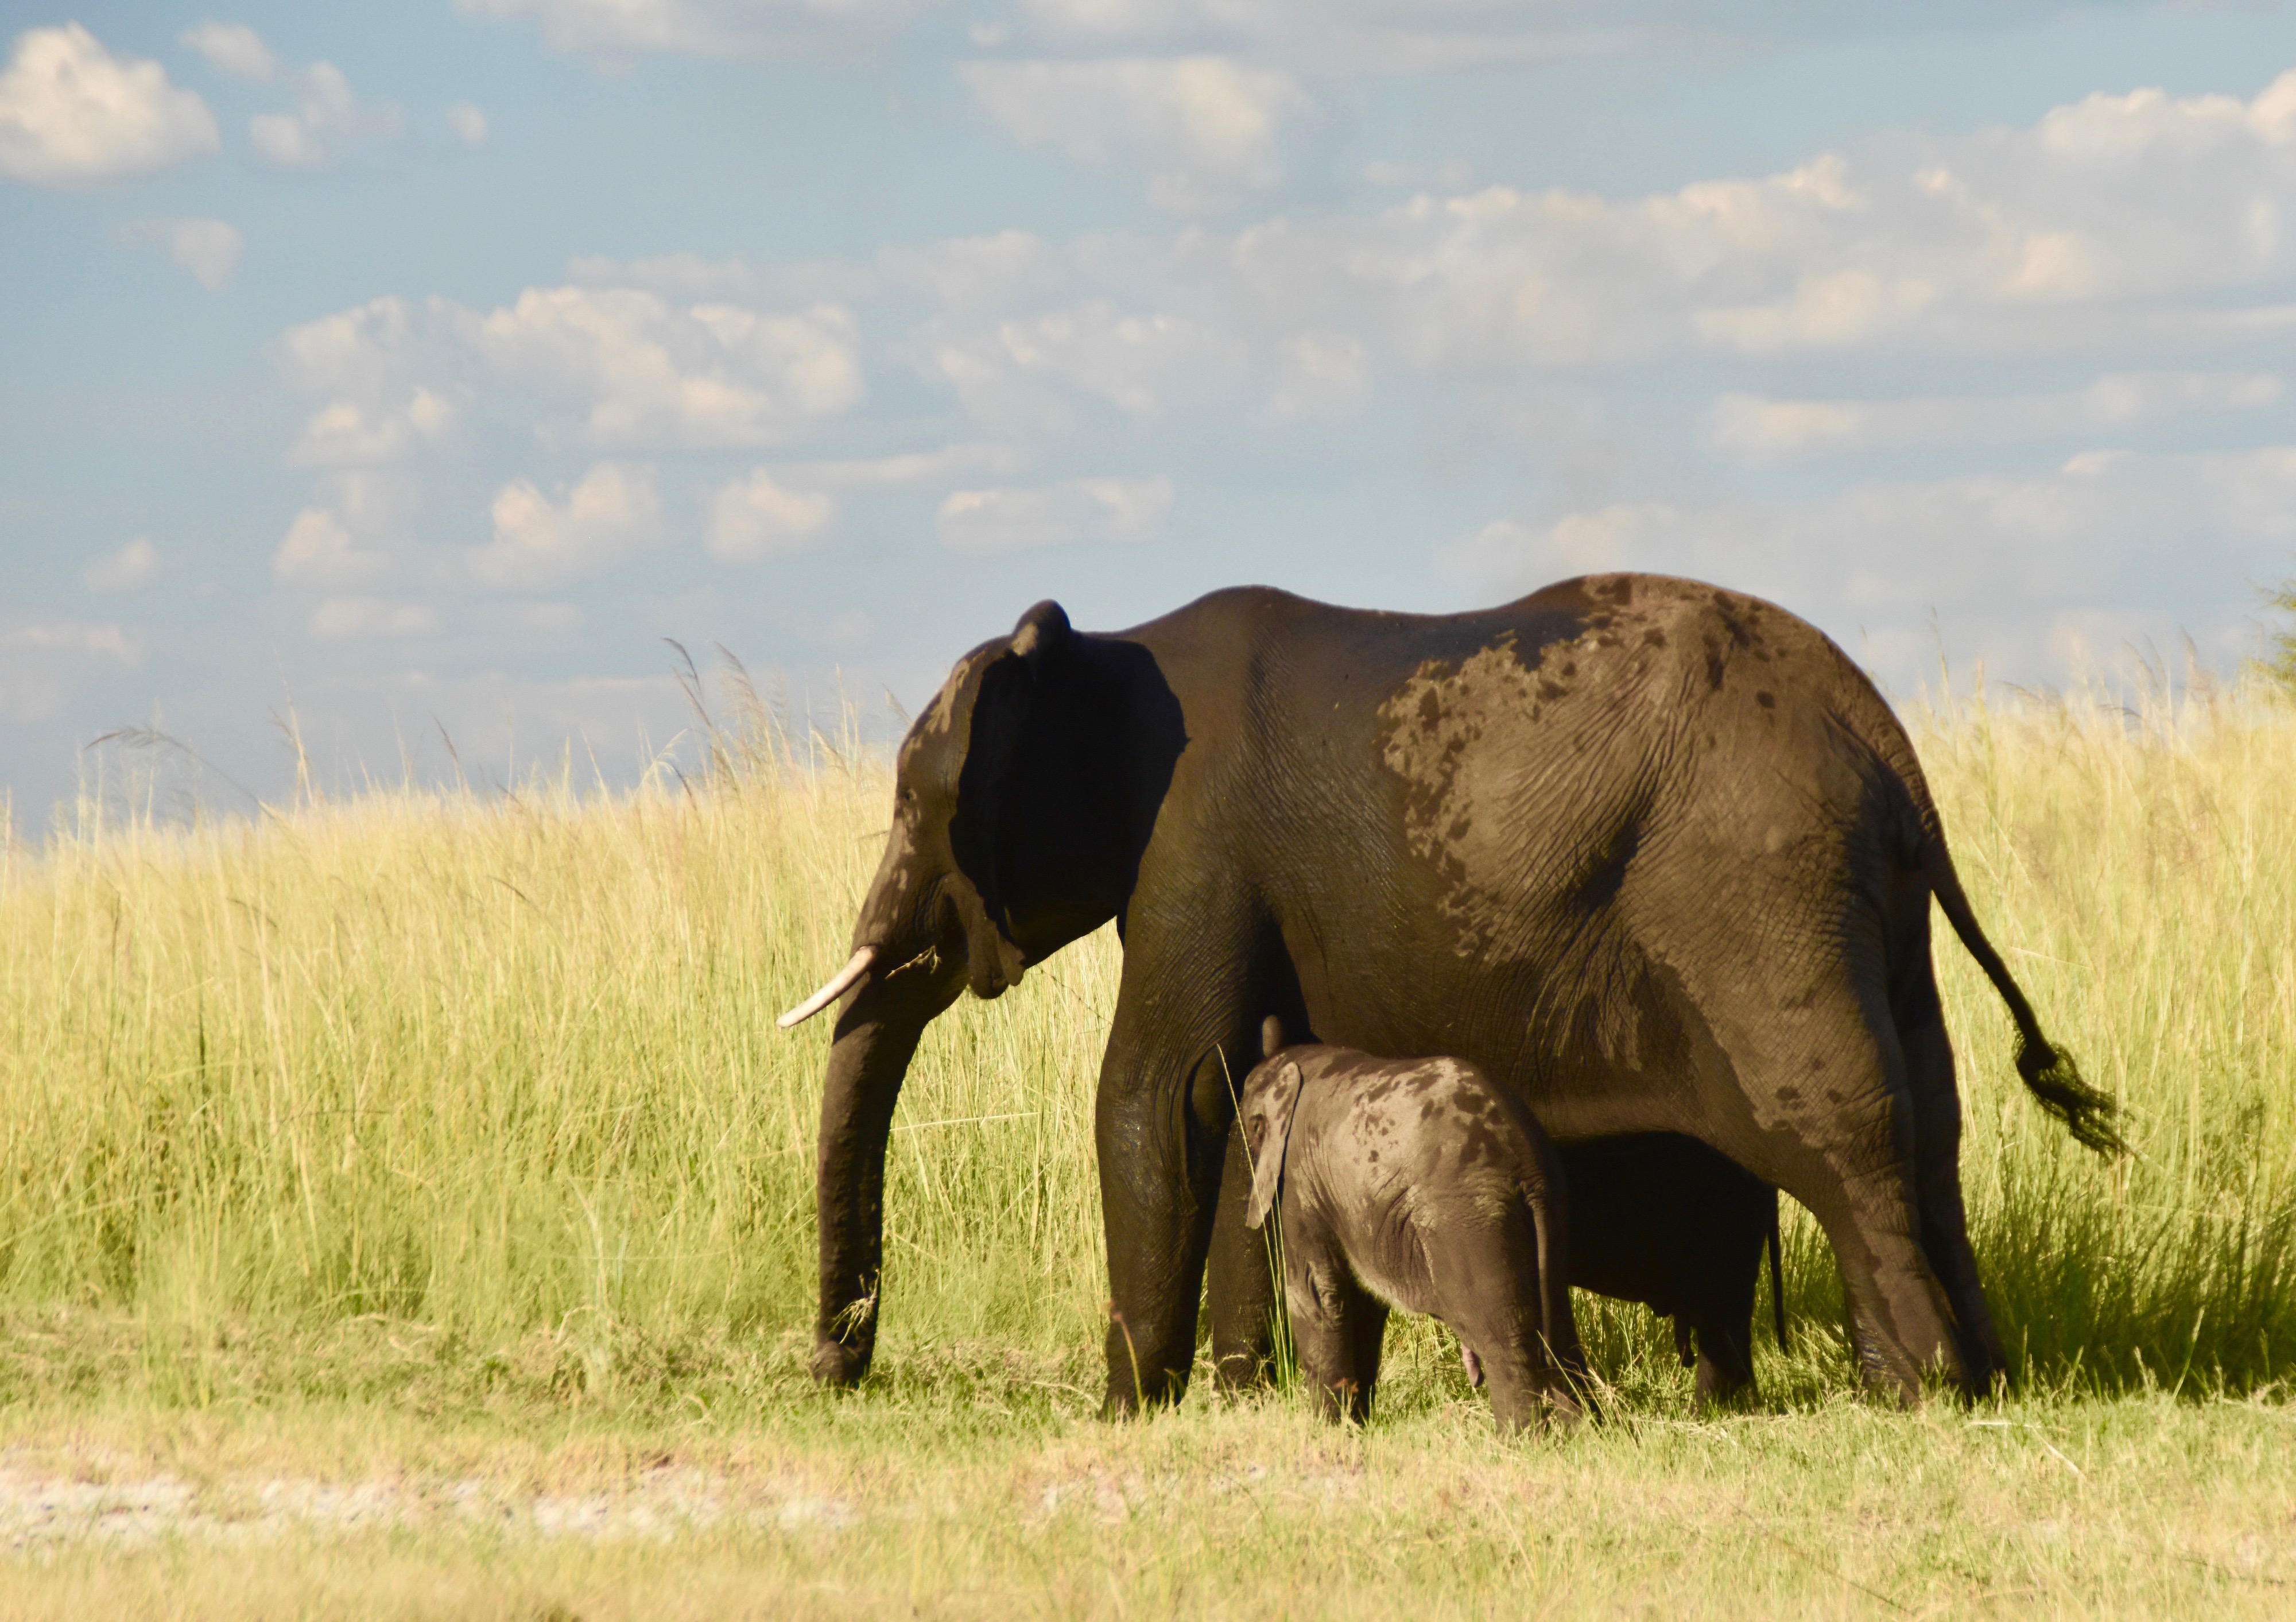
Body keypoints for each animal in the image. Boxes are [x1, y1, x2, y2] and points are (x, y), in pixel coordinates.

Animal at [1240, 1024, 1580, 1424]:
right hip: (1551, 1204)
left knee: (1504, 1345)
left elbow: (1316, 1293)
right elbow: (1363, 1302)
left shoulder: (1298, 1177)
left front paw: (1329, 1429)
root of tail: (1525, 1161)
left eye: (1250, 1128)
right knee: (1561, 1342)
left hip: (1467, 1218)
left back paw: (1522, 1438)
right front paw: (1357, 1426)